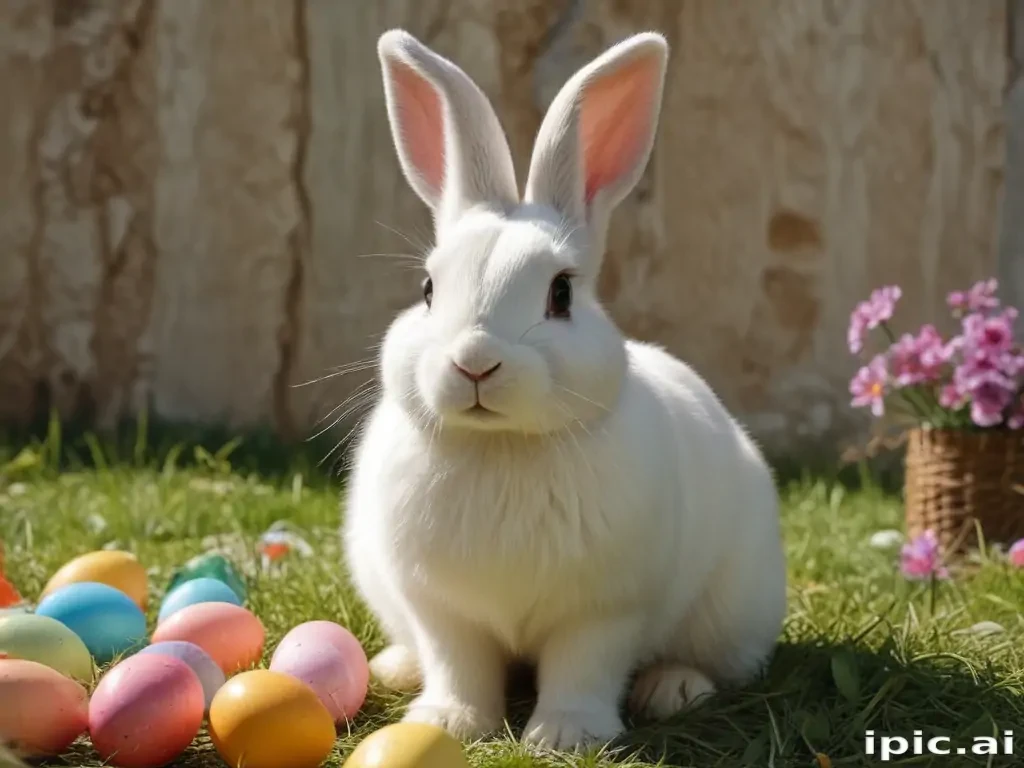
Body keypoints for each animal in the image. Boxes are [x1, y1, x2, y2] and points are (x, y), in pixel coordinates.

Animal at [342, 28, 787, 751]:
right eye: (428, 289)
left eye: (561, 294)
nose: (475, 362)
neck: (504, 447)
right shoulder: (442, 610)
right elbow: (459, 665)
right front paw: (450, 723)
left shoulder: (604, 610)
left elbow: (584, 666)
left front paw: (566, 737)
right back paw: (395, 667)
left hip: (732, 609)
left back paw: (674, 689)